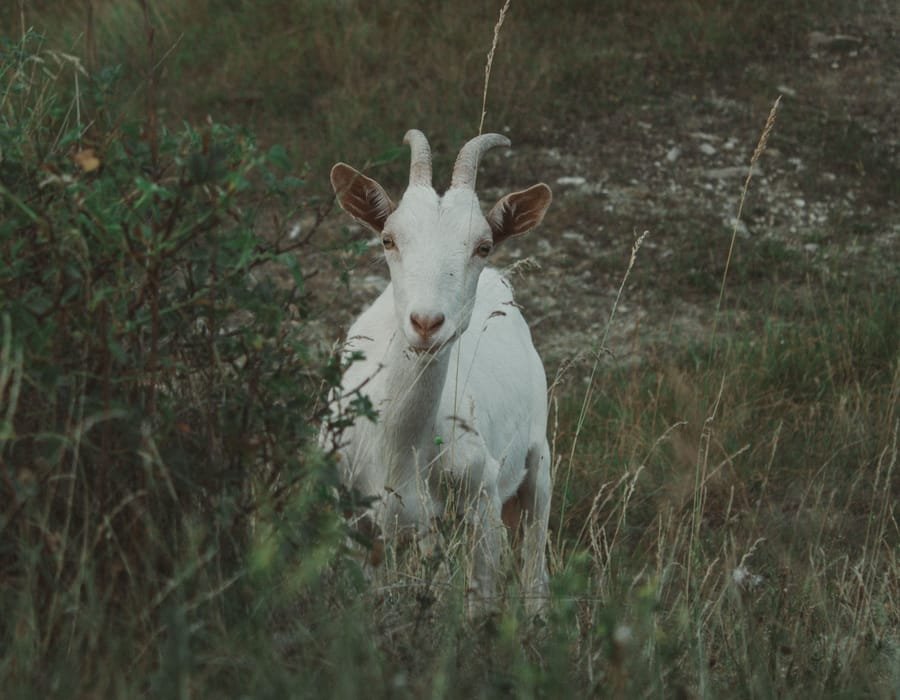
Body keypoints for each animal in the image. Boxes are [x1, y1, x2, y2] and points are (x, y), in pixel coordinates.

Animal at [326, 130, 552, 615]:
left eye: (483, 245)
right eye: (388, 239)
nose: (427, 323)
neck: (397, 449)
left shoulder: (482, 503)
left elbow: (479, 605)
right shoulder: (355, 521)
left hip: (538, 463)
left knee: (534, 566)